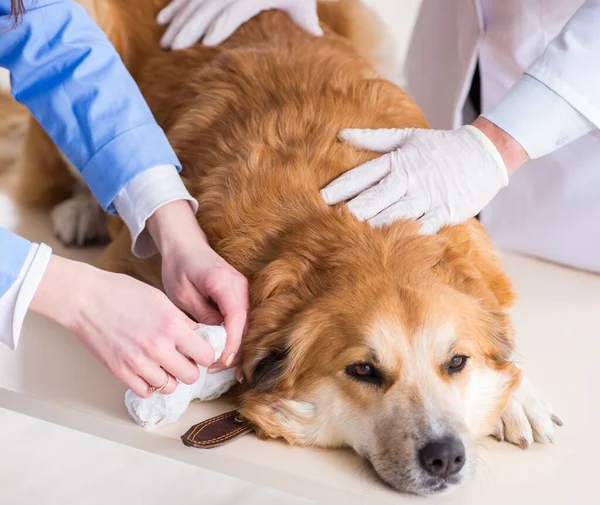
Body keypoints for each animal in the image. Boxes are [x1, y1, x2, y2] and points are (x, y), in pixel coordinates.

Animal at [14, 0, 556, 496]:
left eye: (457, 363)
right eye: (363, 370)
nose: (445, 456)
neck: (364, 236)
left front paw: (519, 397)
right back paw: (80, 208)